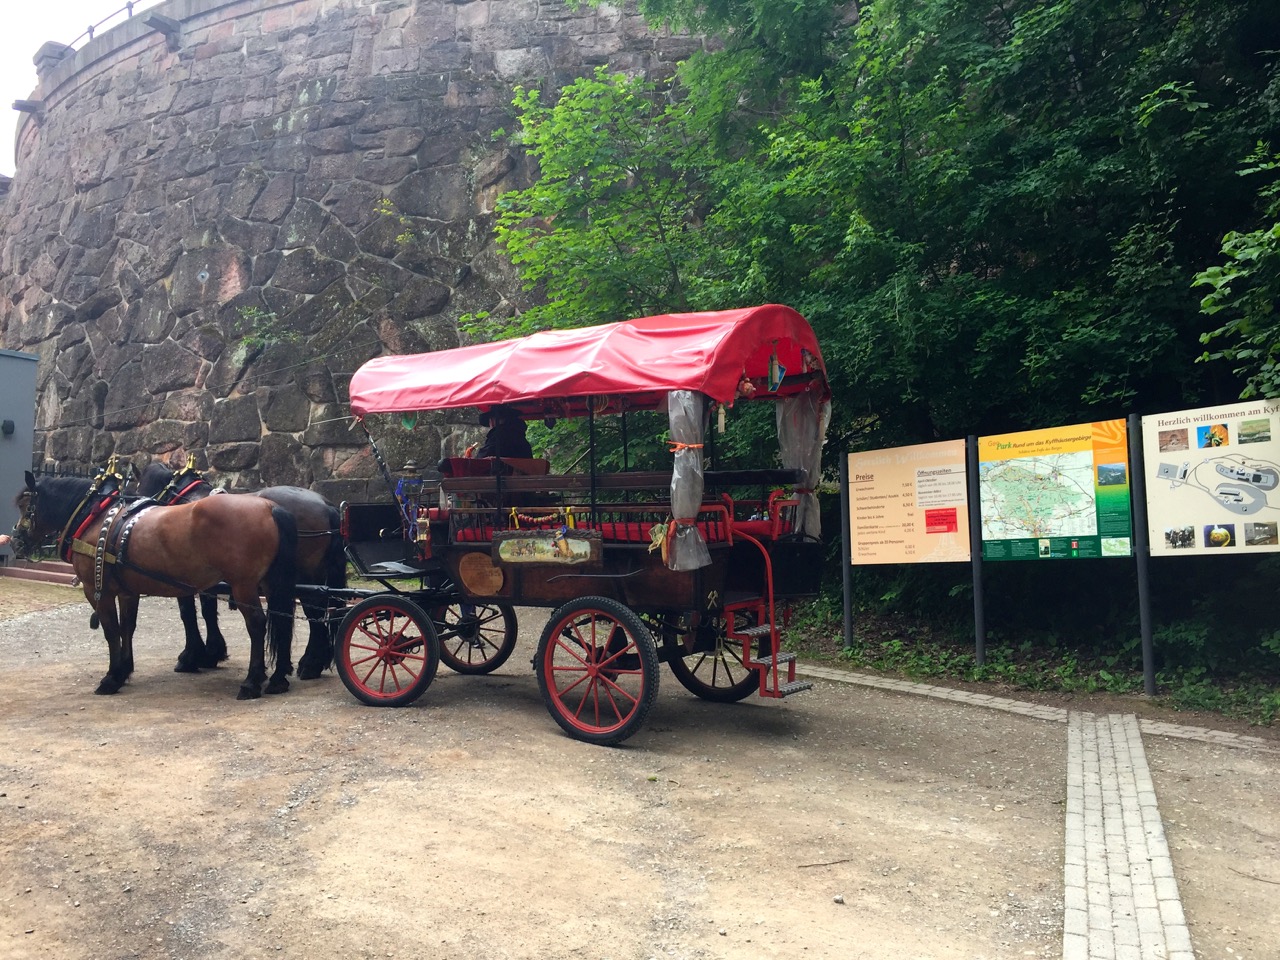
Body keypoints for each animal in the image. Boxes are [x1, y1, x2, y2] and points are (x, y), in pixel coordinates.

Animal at [12, 463, 296, 701]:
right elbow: (127, 627)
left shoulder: (97, 591)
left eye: (25, 506)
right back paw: (278, 678)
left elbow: (111, 630)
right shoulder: (127, 591)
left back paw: (252, 681)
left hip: (243, 585)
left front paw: (111, 677)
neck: (96, 517)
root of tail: (269, 507)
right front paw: (124, 670)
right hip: (269, 584)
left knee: (257, 625)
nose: (16, 540)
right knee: (281, 620)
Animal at [133, 463, 350, 680]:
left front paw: (191, 656)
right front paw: (213, 652)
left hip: (306, 576)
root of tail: (326, 505)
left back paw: (311, 663)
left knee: (315, 611)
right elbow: (208, 611)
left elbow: (188, 613)